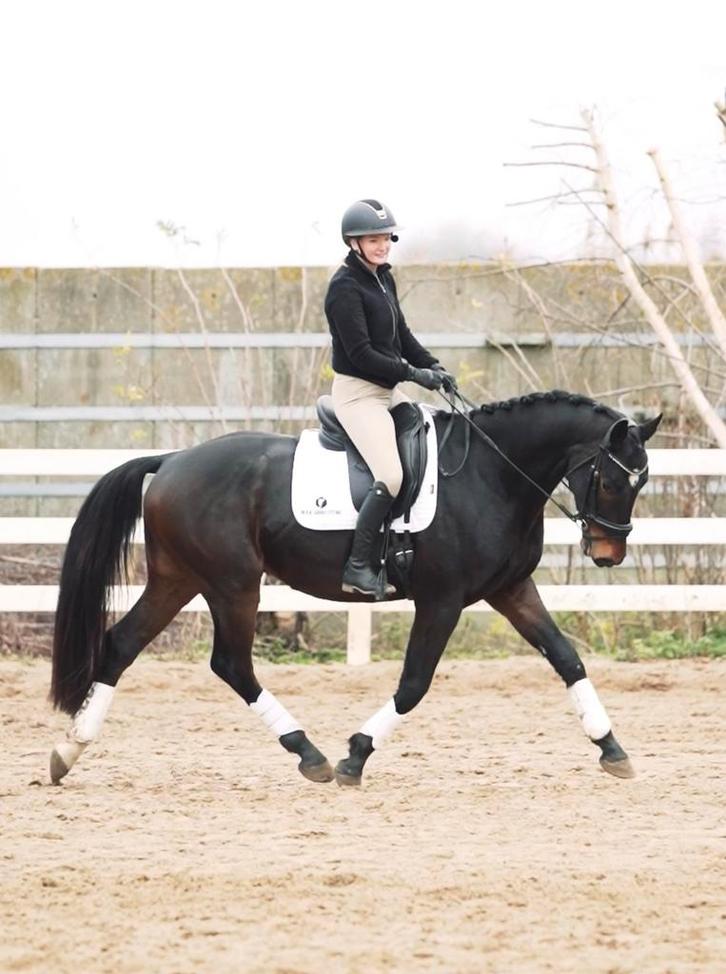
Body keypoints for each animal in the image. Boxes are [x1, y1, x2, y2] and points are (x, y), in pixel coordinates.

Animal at [49, 389, 661, 787]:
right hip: (232, 584)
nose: (608, 554)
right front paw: (356, 757)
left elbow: (566, 658)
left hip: (179, 578)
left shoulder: (510, 588)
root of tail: (173, 460)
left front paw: (611, 748)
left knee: (122, 645)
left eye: (643, 480)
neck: (492, 474)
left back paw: (67, 752)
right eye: (611, 480)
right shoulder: (442, 599)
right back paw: (310, 754)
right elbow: (414, 684)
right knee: (231, 664)